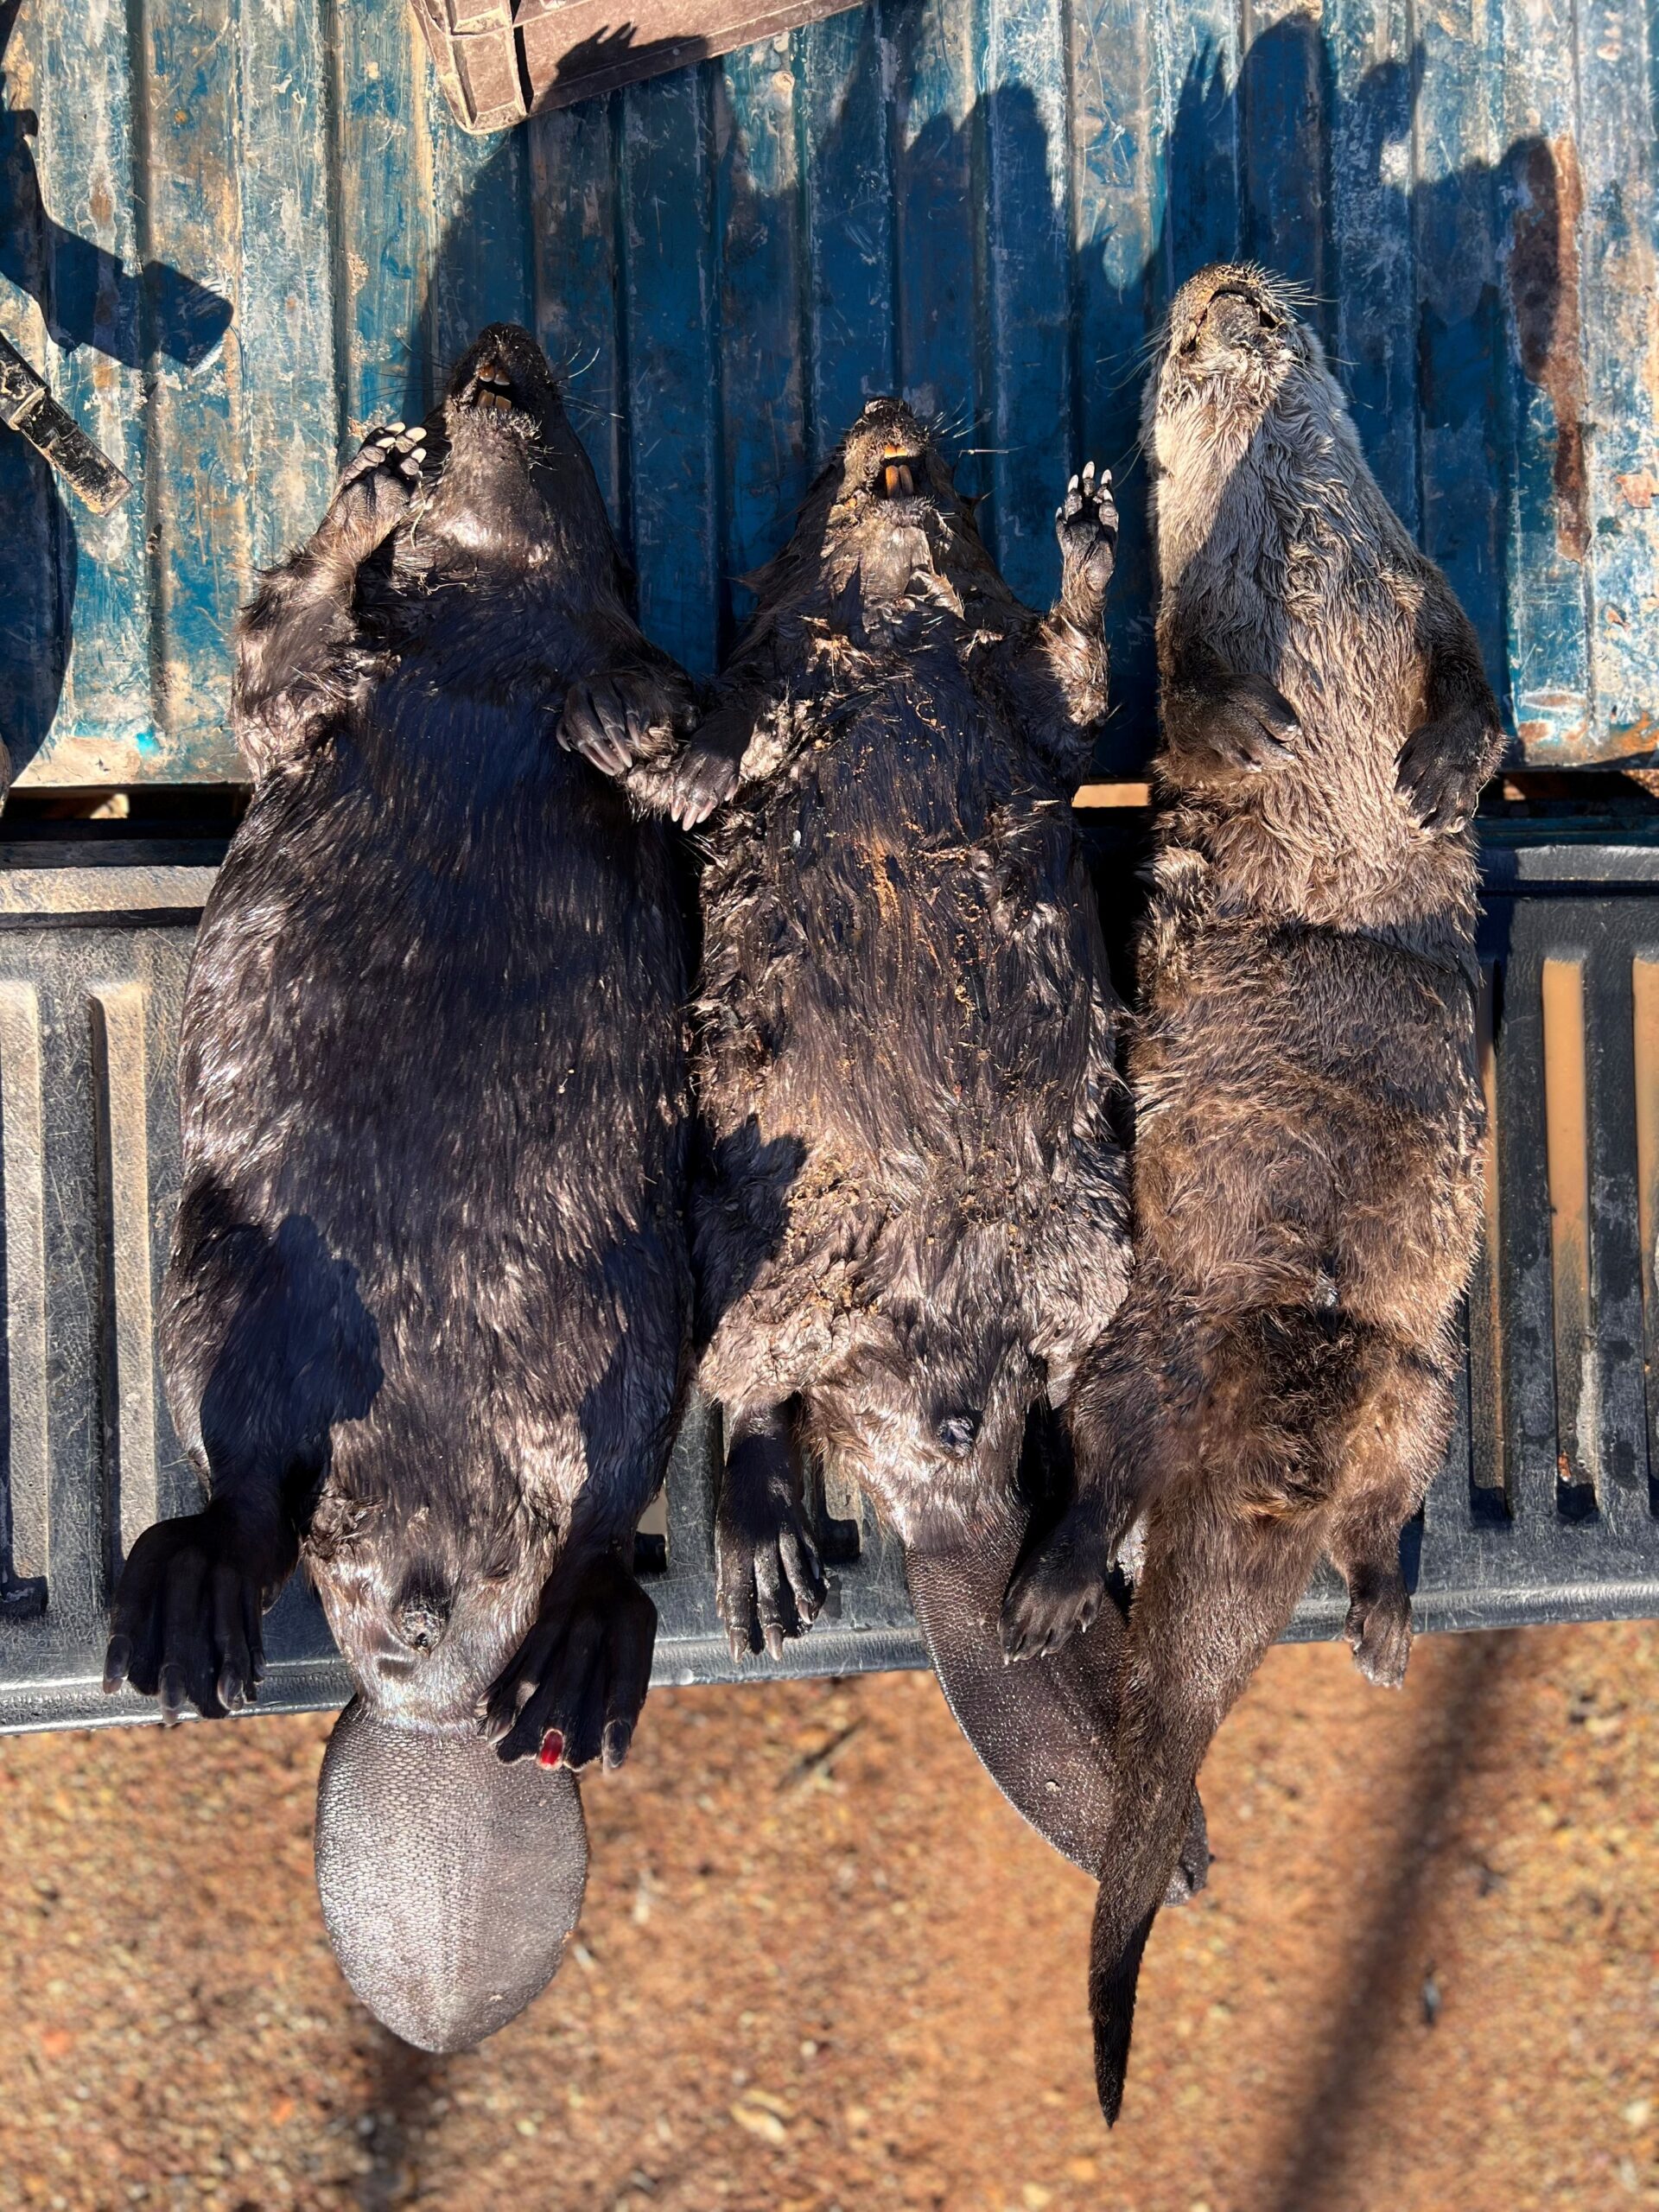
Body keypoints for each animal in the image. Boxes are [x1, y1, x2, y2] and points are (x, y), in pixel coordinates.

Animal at [102, 323, 695, 2051]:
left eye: (561, 424)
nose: (493, 356)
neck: (486, 644)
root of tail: (425, 1695)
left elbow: (660, 718)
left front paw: (635, 715)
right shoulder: (325, 698)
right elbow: (278, 662)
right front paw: (373, 484)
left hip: (643, 1316)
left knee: (603, 1518)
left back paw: (575, 1677)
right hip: (227, 1272)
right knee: (243, 1494)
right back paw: (186, 1637)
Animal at [1002, 264, 1505, 2121]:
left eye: (1257, 283)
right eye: (1179, 331)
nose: (1226, 286)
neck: (1294, 540)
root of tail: (1263, 1450)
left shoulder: (1422, 585)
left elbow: (1476, 690)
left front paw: (1431, 779)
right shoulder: (1195, 641)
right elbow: (1195, 703)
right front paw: (1270, 726)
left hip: (1418, 1383)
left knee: (1380, 1511)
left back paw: (1382, 1632)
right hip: (1141, 1342)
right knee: (1102, 1474)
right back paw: (1051, 1588)